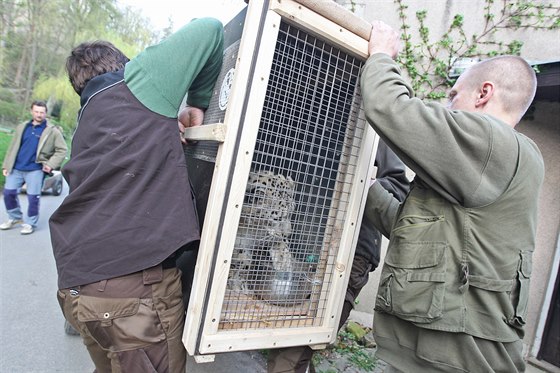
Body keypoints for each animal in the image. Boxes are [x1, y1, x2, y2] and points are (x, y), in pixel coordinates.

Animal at [228, 169, 318, 306]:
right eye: (278, 218)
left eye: (291, 213)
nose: (289, 232)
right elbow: (242, 260)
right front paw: (237, 284)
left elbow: (280, 245)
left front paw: (284, 262)